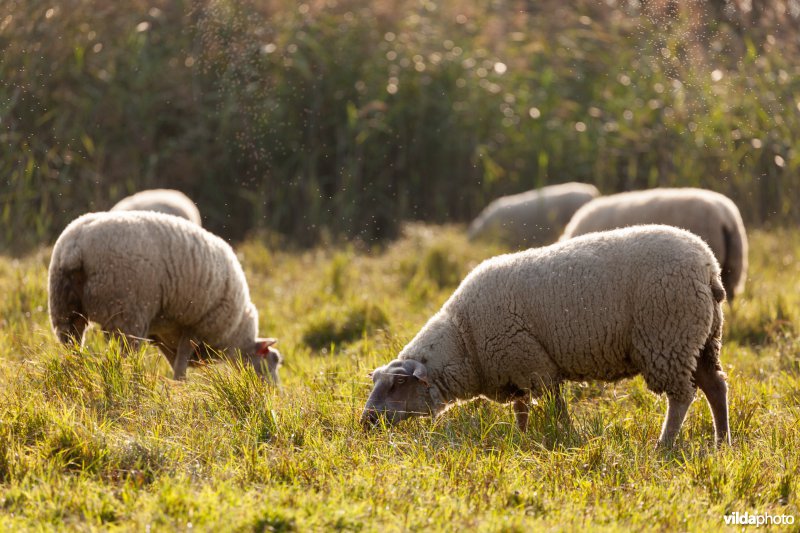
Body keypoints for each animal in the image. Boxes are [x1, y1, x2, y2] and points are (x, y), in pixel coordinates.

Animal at [48, 211, 282, 382]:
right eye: (272, 361)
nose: (271, 394)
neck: (236, 333)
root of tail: (75, 247)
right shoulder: (196, 326)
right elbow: (181, 360)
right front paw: (182, 384)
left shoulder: (164, 334)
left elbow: (174, 360)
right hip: (128, 311)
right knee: (125, 354)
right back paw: (130, 378)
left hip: (64, 306)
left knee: (71, 344)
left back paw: (76, 372)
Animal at [362, 222, 732, 446]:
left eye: (397, 384)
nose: (366, 422)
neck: (463, 340)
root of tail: (708, 267)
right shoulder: (514, 373)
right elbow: (522, 411)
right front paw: (522, 440)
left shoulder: (535, 366)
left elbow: (556, 410)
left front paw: (563, 438)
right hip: (702, 339)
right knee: (715, 386)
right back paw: (721, 442)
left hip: (668, 337)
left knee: (682, 396)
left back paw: (664, 445)